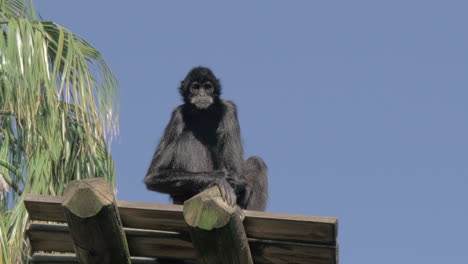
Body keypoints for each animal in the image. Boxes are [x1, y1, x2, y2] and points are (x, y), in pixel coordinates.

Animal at [144, 67, 266, 211]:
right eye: (195, 88)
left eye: (208, 87)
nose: (202, 94)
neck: (204, 113)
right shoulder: (177, 114)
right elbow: (153, 176)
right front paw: (219, 177)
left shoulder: (229, 108)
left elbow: (237, 172)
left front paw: (233, 179)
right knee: (188, 138)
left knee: (256, 162)